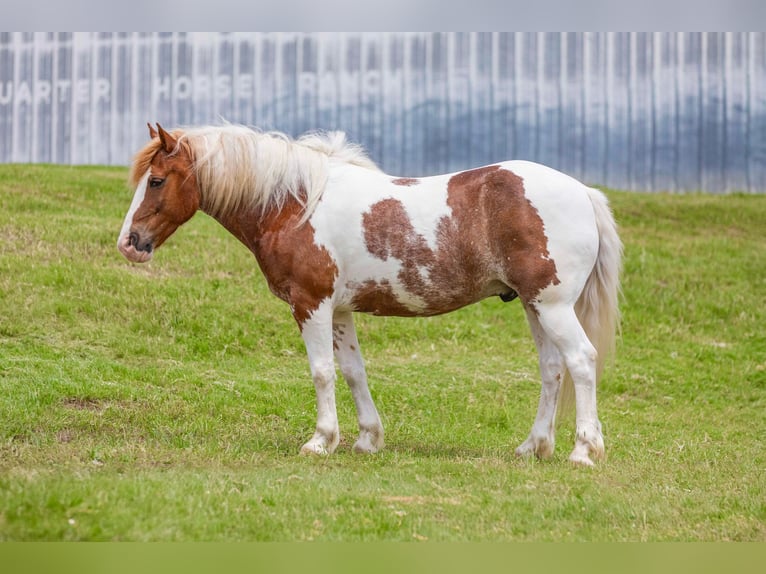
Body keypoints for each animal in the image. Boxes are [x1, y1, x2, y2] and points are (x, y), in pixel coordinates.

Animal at [118, 123, 622, 466]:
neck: (295, 205)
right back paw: (533, 447)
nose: (130, 243)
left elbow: (322, 372)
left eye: (157, 180)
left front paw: (320, 440)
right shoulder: (339, 311)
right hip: (535, 307)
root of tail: (583, 192)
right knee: (552, 370)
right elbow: (353, 372)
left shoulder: (312, 304)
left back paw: (583, 450)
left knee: (581, 361)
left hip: (552, 307)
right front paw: (366, 439)